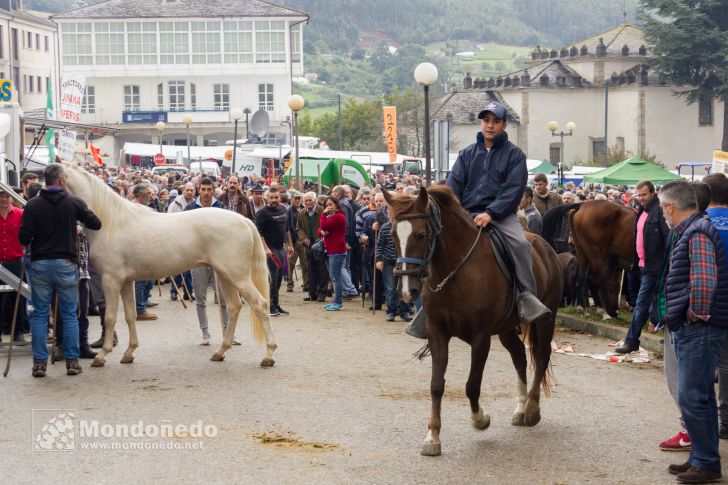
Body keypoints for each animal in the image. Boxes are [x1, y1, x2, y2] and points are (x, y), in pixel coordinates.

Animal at [62, 163, 278, 366]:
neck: (111, 223)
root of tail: (243, 220)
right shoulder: (125, 282)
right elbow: (130, 315)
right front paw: (129, 352)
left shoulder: (111, 280)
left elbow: (110, 317)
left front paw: (102, 355)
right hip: (225, 275)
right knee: (234, 307)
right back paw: (220, 352)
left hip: (238, 277)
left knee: (260, 304)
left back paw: (269, 354)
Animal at [382, 184, 564, 454]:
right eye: (393, 235)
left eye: (420, 235)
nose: (407, 290)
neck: (454, 270)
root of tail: (544, 245)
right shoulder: (438, 334)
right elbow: (436, 385)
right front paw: (433, 437)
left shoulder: (480, 338)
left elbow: (472, 385)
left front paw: (480, 420)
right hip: (506, 329)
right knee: (519, 356)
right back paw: (520, 407)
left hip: (545, 319)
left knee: (541, 355)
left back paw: (531, 409)